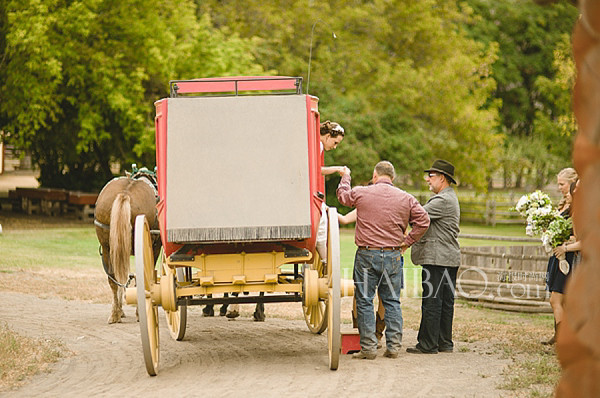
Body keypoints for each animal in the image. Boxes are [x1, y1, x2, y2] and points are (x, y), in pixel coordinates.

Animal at [94, 174, 161, 324]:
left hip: (107, 249)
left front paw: (119, 310)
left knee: (113, 279)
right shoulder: (155, 248)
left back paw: (115, 314)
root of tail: (125, 194)